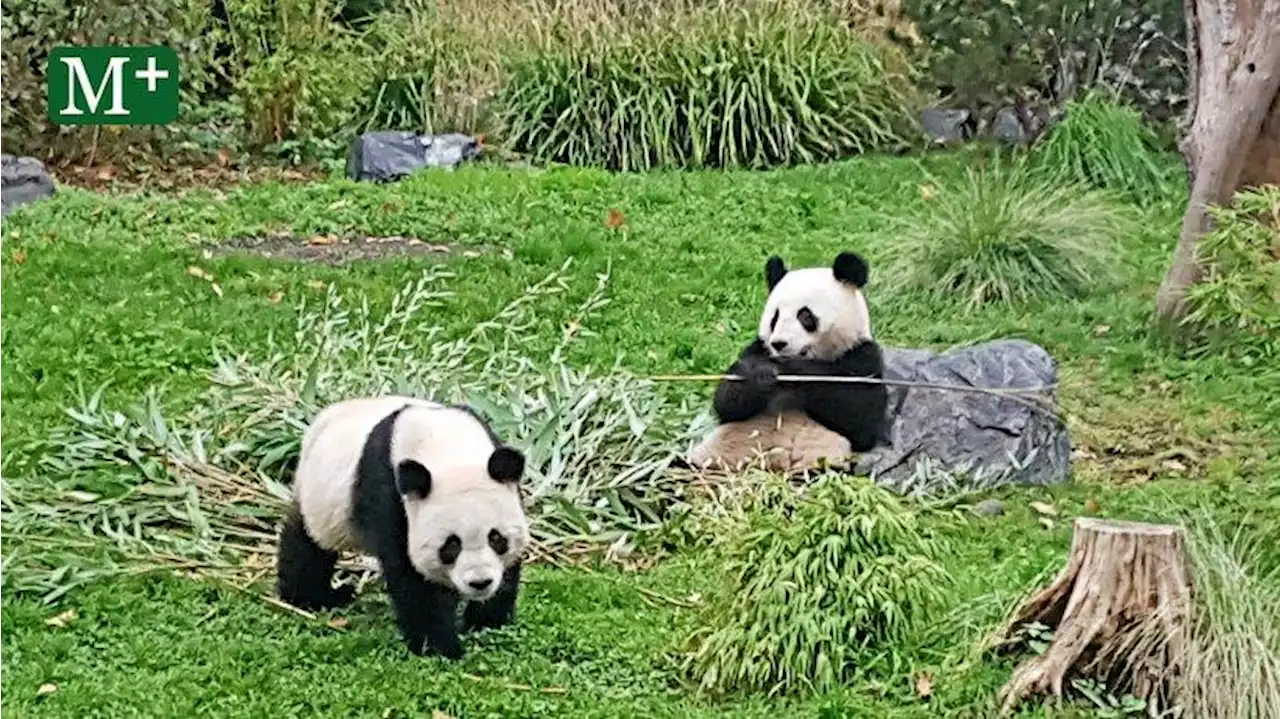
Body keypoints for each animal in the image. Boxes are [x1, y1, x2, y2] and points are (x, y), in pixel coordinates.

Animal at [277, 394, 532, 660]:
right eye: (451, 545)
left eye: (497, 539)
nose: (480, 582)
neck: (445, 447)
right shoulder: (388, 491)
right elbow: (411, 575)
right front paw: (440, 647)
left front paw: (486, 623)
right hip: (319, 494)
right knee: (308, 545)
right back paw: (314, 597)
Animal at [680, 249, 890, 473]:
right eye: (775, 317)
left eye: (805, 315)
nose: (779, 343)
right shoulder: (757, 348)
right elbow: (727, 404)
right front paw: (760, 375)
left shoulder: (861, 357)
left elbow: (860, 417)